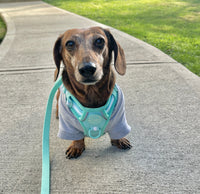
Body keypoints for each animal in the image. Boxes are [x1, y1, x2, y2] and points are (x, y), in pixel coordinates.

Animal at [53, 26, 131, 158]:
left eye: (100, 41)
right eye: (70, 43)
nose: (87, 69)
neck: (91, 92)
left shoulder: (119, 117)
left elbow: (117, 131)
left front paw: (119, 140)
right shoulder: (69, 125)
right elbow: (77, 137)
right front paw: (76, 146)